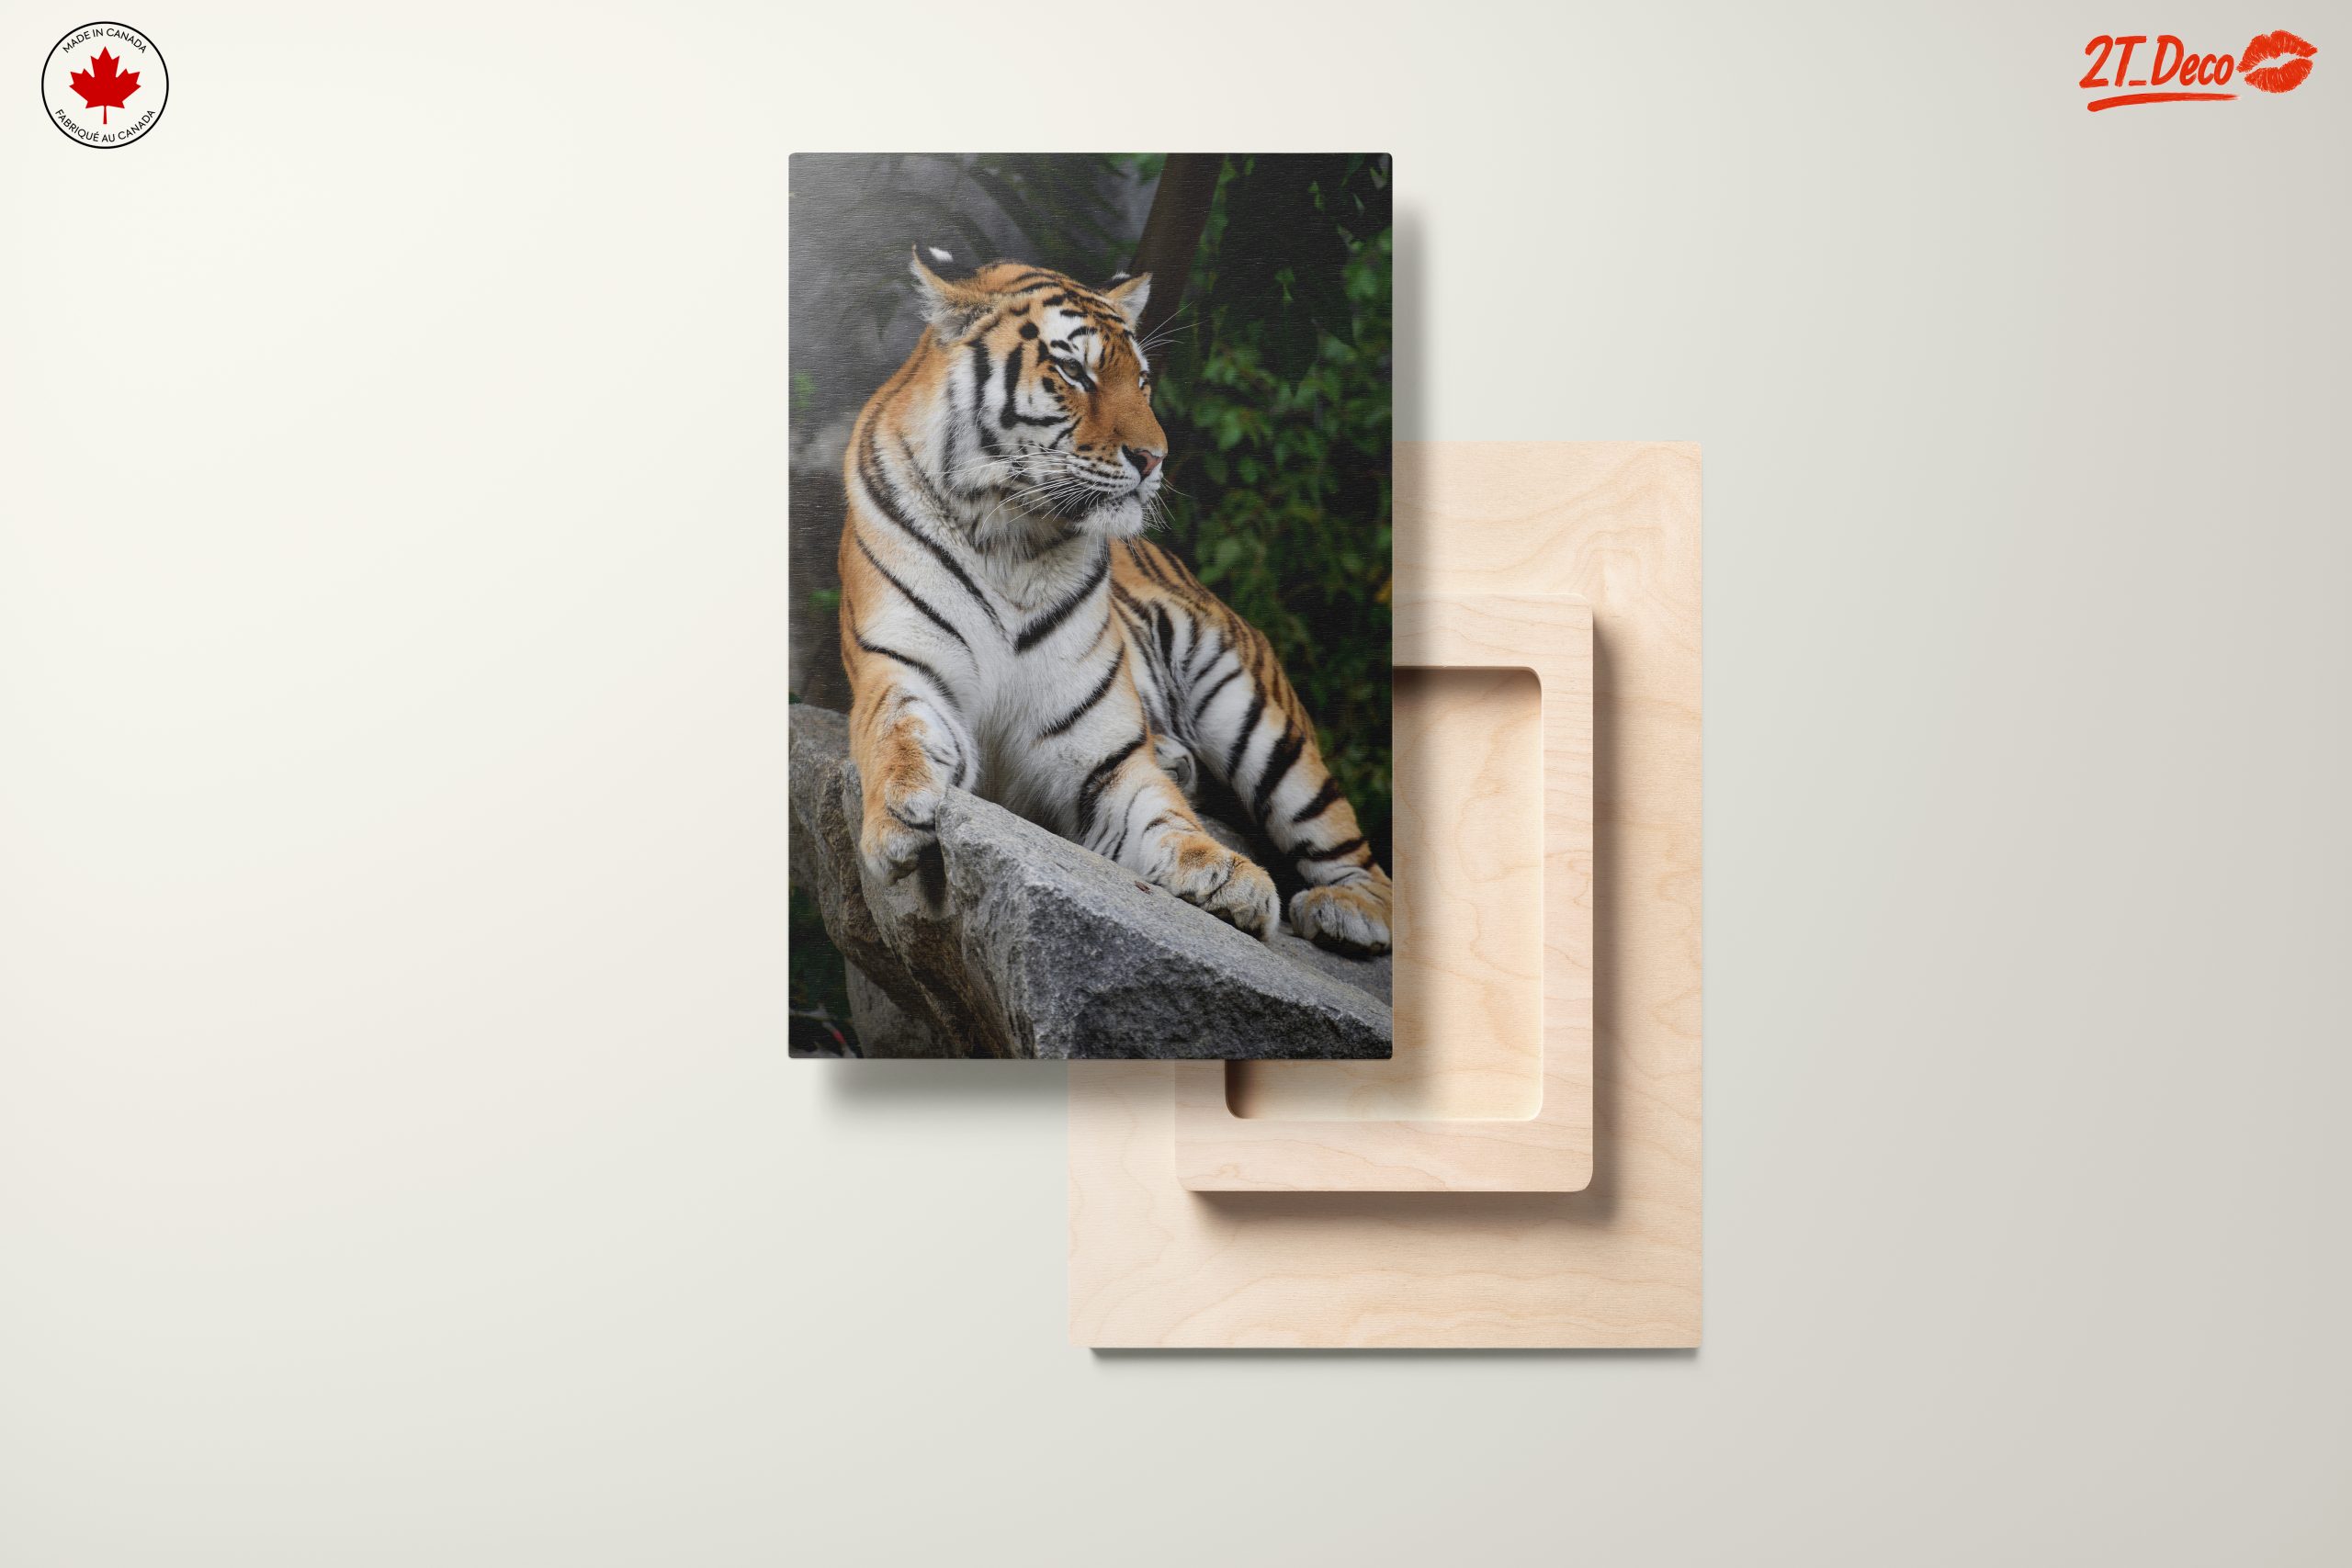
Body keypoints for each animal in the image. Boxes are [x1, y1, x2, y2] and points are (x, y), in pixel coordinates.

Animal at [833, 247, 1391, 955]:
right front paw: (903, 812)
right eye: (1074, 370)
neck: (1009, 537)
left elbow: (1161, 815)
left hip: (1257, 713)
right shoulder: (904, 669)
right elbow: (899, 734)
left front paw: (1226, 876)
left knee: (1355, 853)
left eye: (1143, 381)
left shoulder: (1101, 752)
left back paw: (1350, 911)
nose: (1155, 459)